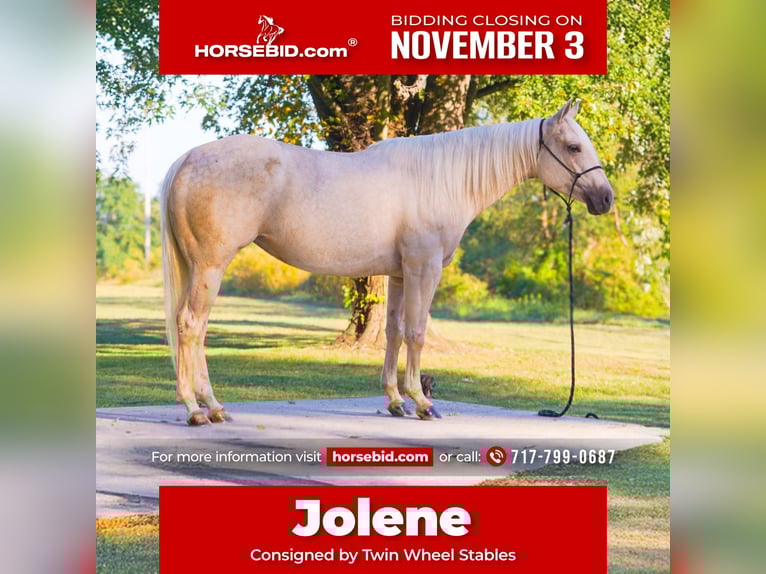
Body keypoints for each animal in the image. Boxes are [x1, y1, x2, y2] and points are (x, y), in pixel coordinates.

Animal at [160, 99, 614, 426]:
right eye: (573, 146)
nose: (605, 198)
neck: (440, 180)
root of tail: (187, 160)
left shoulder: (398, 274)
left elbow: (394, 332)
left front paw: (396, 401)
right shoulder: (424, 267)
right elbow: (416, 332)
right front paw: (422, 403)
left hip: (198, 268)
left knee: (192, 327)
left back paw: (207, 407)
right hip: (211, 266)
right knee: (191, 325)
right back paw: (200, 408)